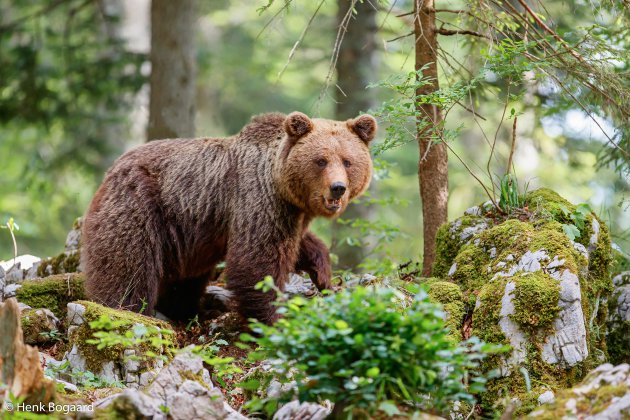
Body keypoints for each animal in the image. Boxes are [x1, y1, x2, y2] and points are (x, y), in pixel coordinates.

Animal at [81, 111, 378, 324]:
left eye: (348, 161)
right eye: (321, 160)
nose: (337, 187)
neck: (282, 186)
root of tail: (112, 170)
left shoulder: (288, 214)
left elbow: (300, 244)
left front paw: (324, 274)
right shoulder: (258, 200)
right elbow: (257, 261)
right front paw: (271, 318)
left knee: (184, 279)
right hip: (141, 204)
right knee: (128, 265)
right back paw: (127, 309)